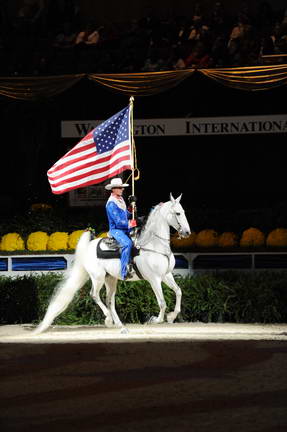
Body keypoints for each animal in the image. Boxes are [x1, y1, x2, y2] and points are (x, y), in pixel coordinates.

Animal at [35, 194, 191, 336]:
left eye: (184, 211)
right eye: (177, 213)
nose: (187, 232)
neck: (153, 245)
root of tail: (88, 246)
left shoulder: (166, 275)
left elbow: (178, 291)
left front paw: (171, 316)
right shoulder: (154, 279)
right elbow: (162, 302)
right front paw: (154, 320)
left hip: (110, 279)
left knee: (110, 300)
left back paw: (120, 325)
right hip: (97, 278)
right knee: (95, 295)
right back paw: (109, 320)